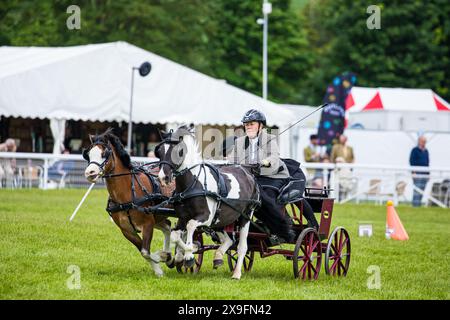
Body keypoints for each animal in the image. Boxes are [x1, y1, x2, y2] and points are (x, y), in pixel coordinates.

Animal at [83, 129, 175, 276]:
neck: (127, 194)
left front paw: (162, 257)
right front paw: (161, 264)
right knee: (167, 226)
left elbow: (145, 251)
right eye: (88, 154)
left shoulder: (148, 223)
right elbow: (143, 251)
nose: (89, 173)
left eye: (104, 154)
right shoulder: (126, 230)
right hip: (159, 215)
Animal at [157, 125, 260, 280]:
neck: (193, 184)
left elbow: (190, 226)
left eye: (179, 151)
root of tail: (247, 172)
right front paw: (181, 255)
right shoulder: (182, 217)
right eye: (160, 151)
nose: (163, 177)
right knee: (229, 240)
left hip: (246, 215)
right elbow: (175, 235)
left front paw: (190, 254)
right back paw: (218, 257)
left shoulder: (206, 217)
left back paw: (236, 273)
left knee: (242, 246)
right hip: (222, 219)